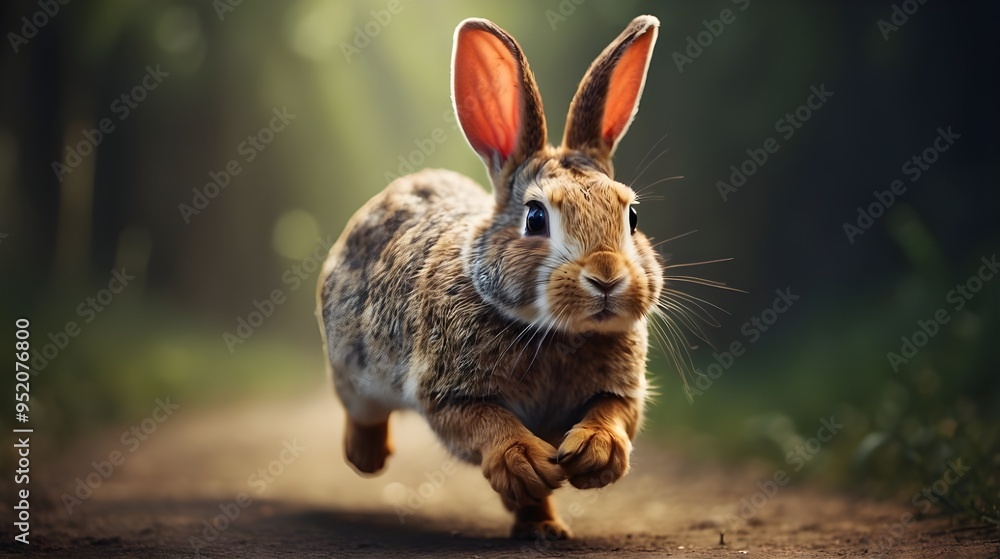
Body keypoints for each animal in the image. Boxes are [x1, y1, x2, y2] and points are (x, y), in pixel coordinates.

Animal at [317, 15, 662, 540]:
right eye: (536, 218)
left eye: (633, 217)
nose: (606, 278)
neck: (556, 333)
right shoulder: (449, 390)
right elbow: (486, 423)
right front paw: (525, 461)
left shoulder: (620, 389)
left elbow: (613, 413)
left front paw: (593, 454)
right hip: (352, 366)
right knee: (362, 410)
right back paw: (368, 458)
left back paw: (545, 529)